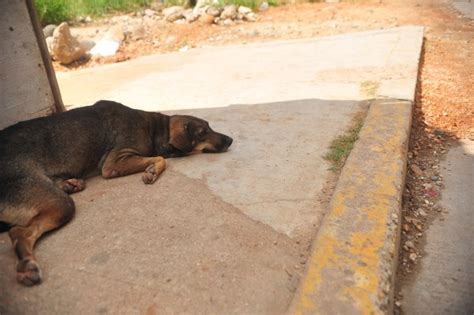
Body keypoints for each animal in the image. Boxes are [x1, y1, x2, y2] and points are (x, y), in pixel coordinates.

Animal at [0, 100, 233, 286]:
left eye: (210, 127)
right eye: (203, 132)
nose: (230, 140)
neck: (154, 128)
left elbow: (160, 158)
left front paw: (152, 170)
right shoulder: (115, 162)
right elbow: (160, 159)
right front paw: (152, 172)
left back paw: (71, 183)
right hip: (58, 203)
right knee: (19, 232)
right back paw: (27, 266)